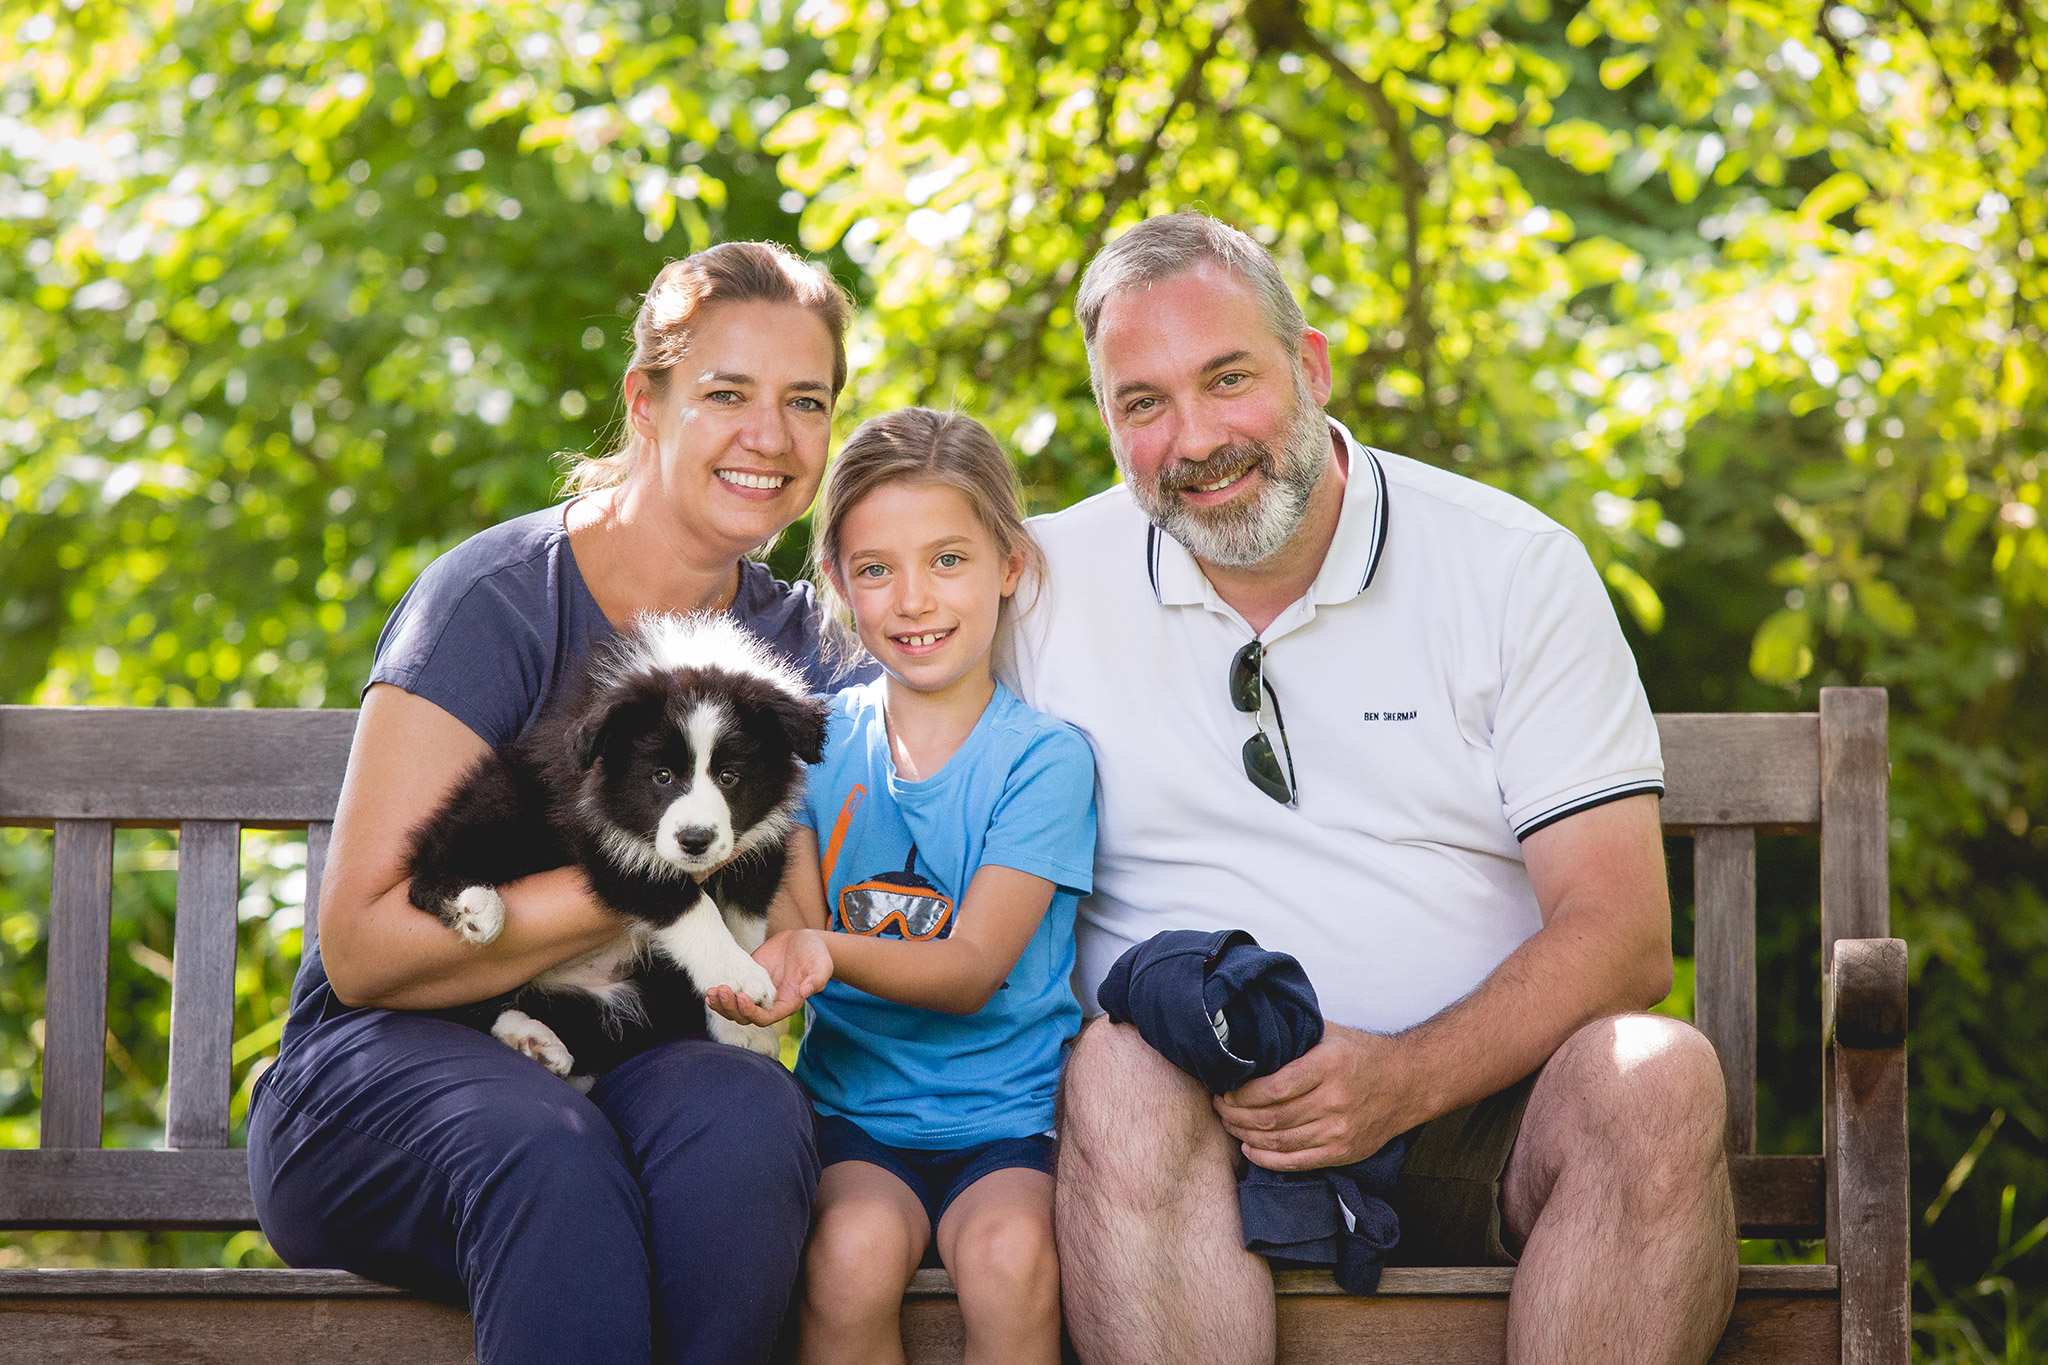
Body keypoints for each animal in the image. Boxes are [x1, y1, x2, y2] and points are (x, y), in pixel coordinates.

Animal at [403, 613, 827, 1080]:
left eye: (730, 776)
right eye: (661, 775)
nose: (694, 841)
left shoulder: (758, 847)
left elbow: (745, 923)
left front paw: (739, 1020)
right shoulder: (596, 832)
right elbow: (688, 904)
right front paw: (736, 974)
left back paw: (539, 1041)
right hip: (505, 803)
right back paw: (478, 910)